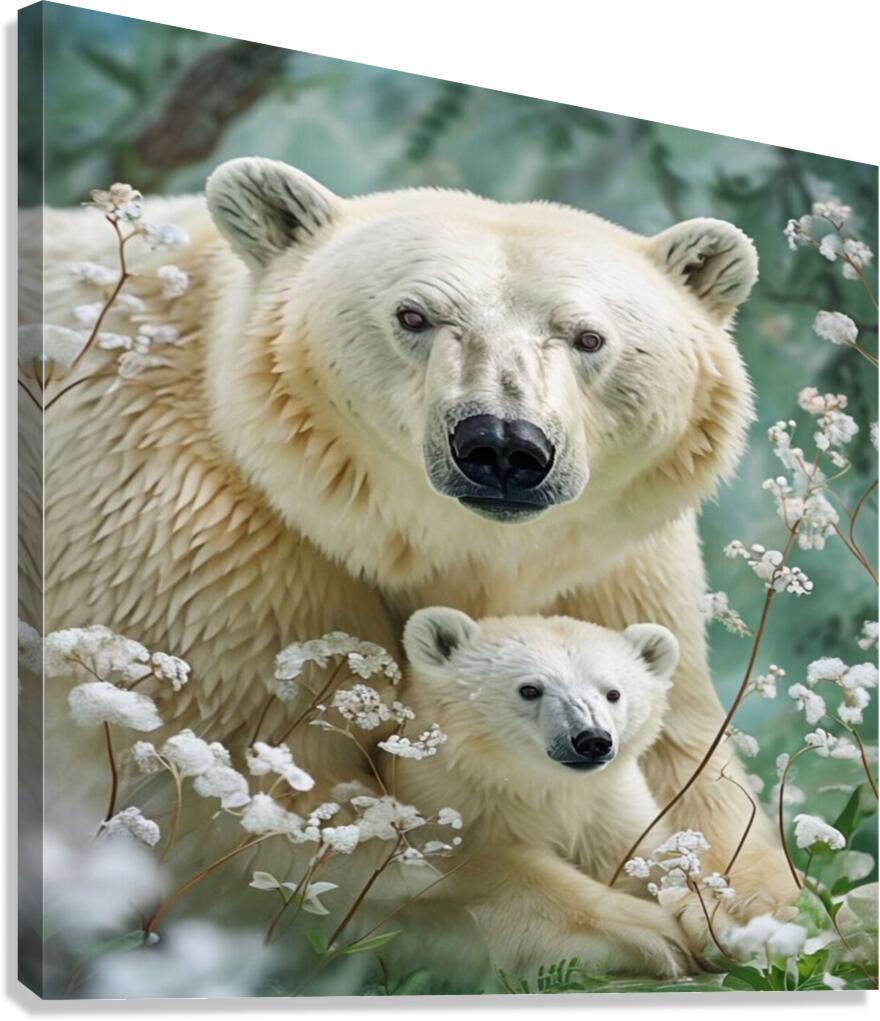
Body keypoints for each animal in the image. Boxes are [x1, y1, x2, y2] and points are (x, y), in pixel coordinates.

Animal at [36, 156, 794, 918]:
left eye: (588, 336)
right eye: (413, 315)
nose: (502, 445)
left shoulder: (612, 567)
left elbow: (690, 770)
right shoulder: (212, 556)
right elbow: (256, 803)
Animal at [392, 606, 701, 978]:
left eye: (613, 693)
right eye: (529, 689)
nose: (592, 739)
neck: (541, 785)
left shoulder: (610, 808)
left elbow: (644, 854)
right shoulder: (454, 804)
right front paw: (659, 937)